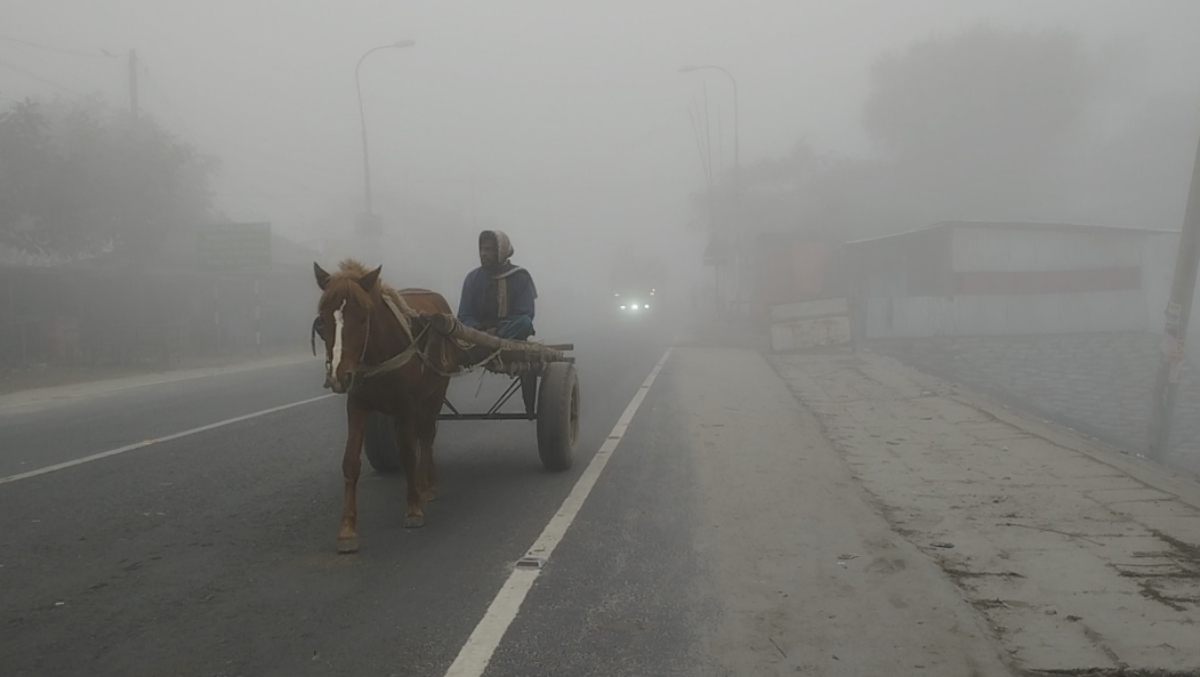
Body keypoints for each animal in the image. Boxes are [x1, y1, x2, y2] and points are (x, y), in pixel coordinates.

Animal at [309, 260, 458, 554]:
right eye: (322, 320)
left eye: (363, 317)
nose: (339, 376)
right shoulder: (357, 404)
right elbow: (350, 462)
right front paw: (347, 530)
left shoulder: (407, 406)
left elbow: (408, 454)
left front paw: (413, 509)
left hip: (435, 393)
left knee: (427, 436)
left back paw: (427, 486)